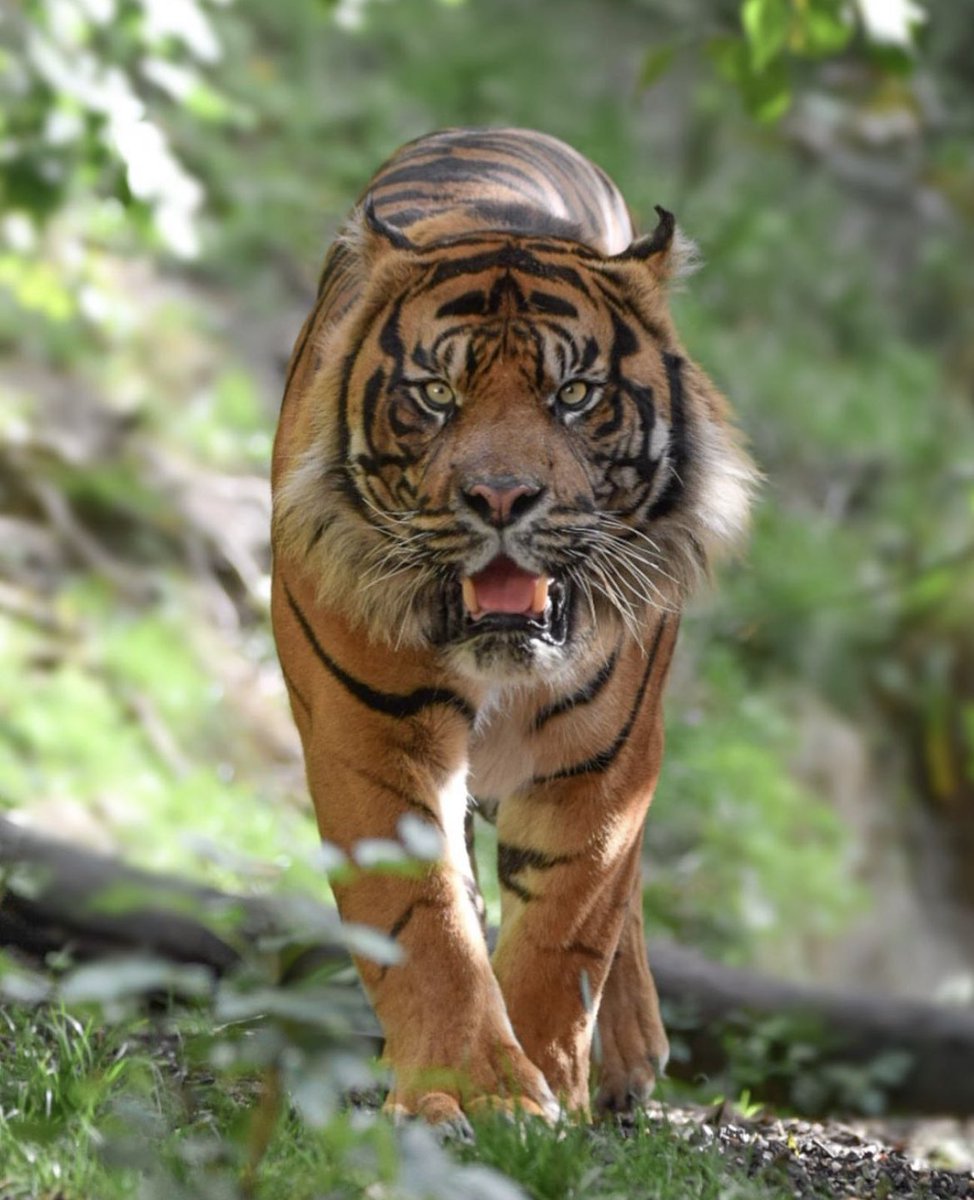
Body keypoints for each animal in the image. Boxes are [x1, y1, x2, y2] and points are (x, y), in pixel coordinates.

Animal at [271, 127, 755, 1127]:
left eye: (573, 394)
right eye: (435, 395)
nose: (500, 497)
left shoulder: (600, 759)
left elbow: (569, 928)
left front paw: (543, 1094)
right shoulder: (372, 740)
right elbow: (428, 924)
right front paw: (467, 1087)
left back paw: (628, 1058)